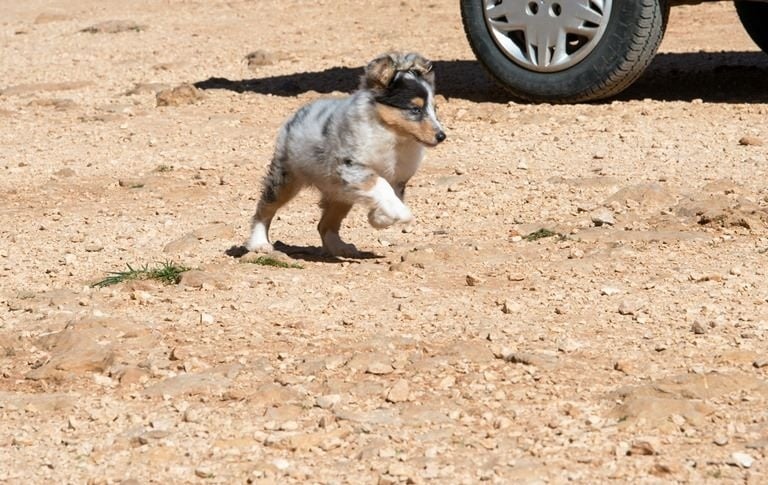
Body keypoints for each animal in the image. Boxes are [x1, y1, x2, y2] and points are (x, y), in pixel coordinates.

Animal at [243, 52, 448, 258]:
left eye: (435, 109)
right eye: (415, 109)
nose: (441, 136)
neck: (394, 137)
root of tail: (298, 114)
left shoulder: (398, 179)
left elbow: (389, 195)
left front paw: (378, 218)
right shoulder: (351, 166)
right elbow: (381, 185)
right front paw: (402, 213)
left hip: (340, 193)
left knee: (325, 224)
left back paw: (340, 247)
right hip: (287, 178)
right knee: (264, 210)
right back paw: (259, 243)